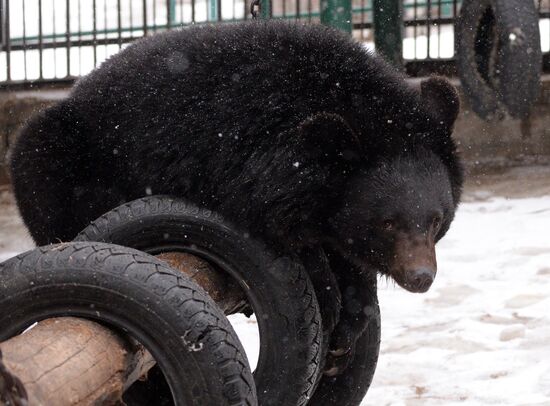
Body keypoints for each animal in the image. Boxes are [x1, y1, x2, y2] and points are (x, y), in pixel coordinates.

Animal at [10, 20, 464, 372]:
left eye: (436, 219)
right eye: (387, 222)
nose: (422, 277)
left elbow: (346, 254)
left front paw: (351, 322)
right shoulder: (242, 159)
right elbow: (287, 235)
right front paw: (330, 300)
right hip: (55, 152)